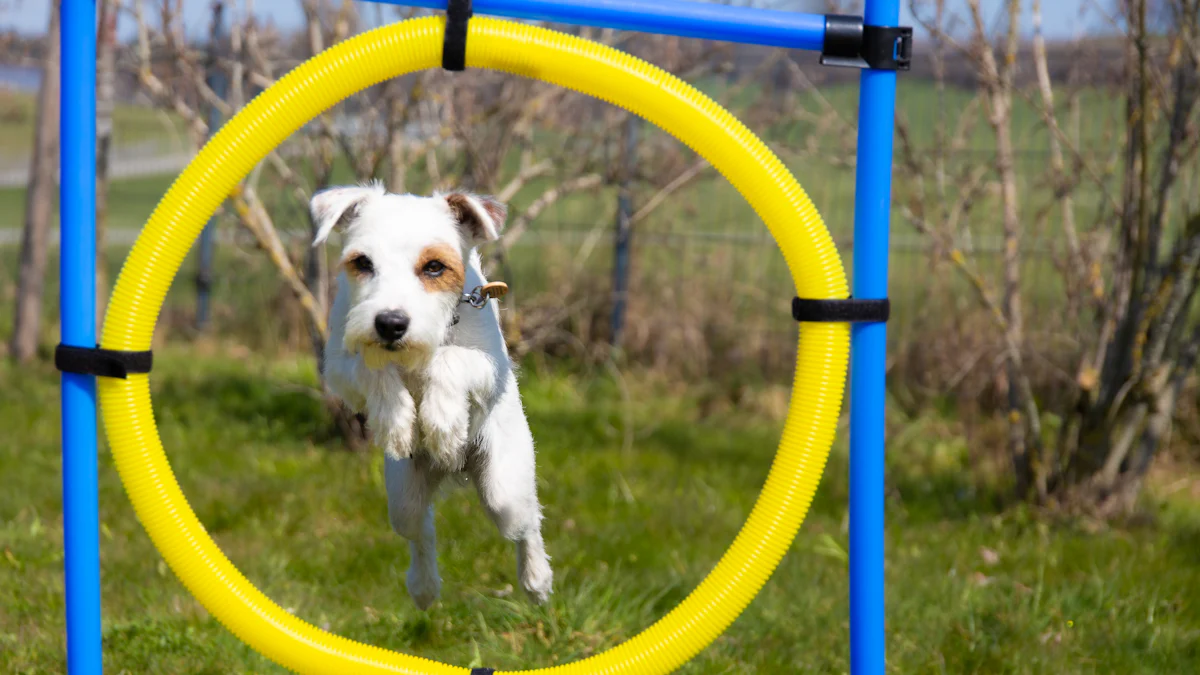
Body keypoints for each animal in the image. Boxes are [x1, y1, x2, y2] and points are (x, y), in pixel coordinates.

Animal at [309, 181, 552, 607]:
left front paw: (442, 423)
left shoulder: (492, 367)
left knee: (526, 525)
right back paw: (423, 587)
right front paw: (398, 420)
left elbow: (449, 358)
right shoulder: (338, 367)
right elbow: (373, 367)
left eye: (434, 267)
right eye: (363, 263)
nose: (390, 323)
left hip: (505, 487)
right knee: (421, 530)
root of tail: (453, 471)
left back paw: (536, 580)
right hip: (402, 496)